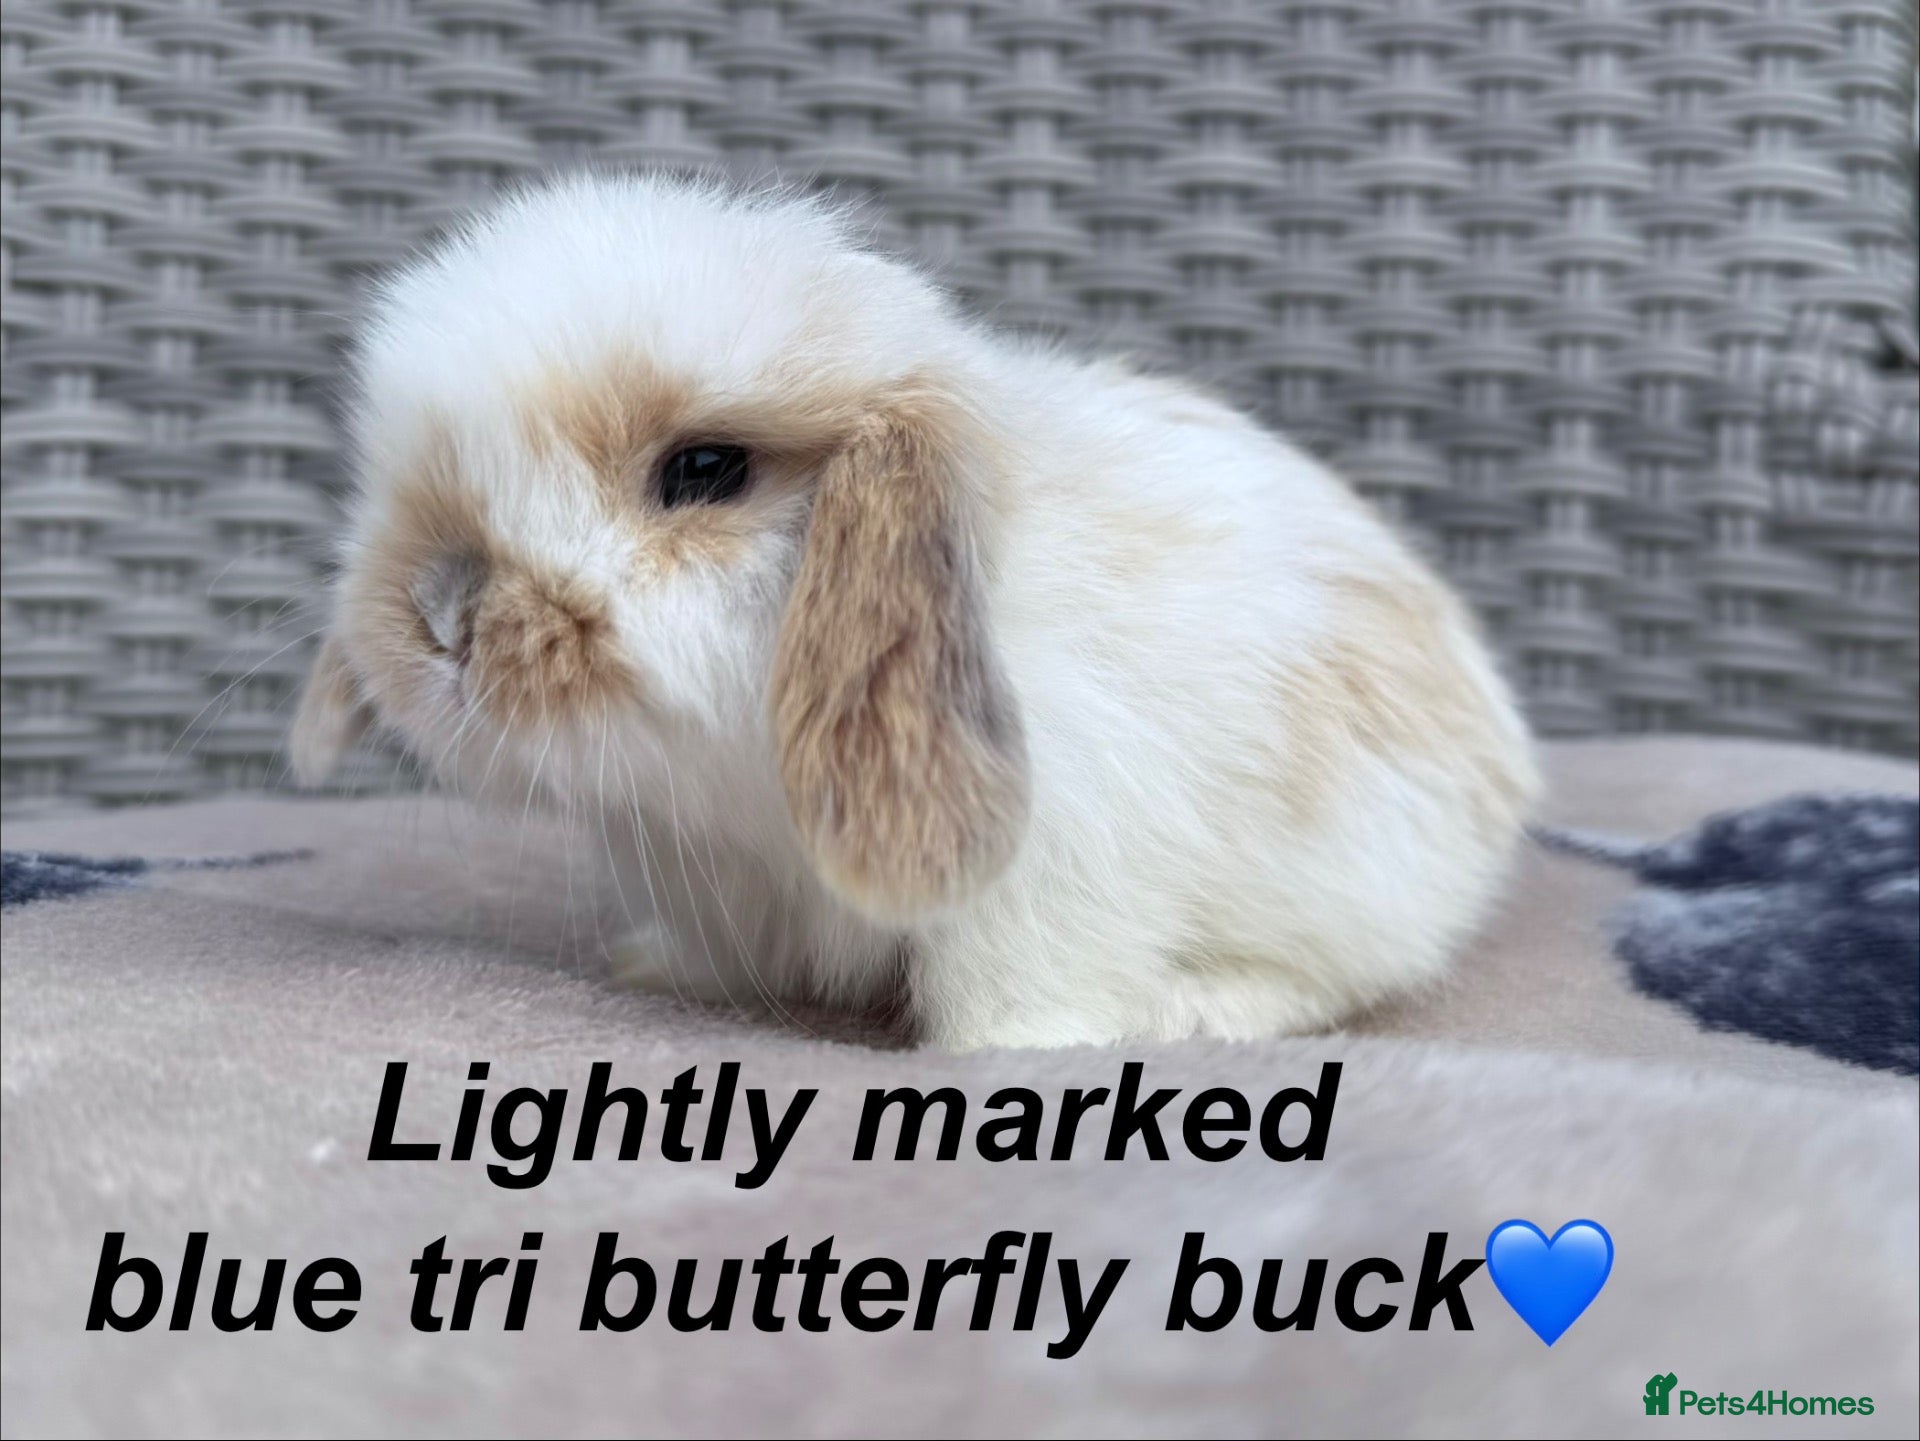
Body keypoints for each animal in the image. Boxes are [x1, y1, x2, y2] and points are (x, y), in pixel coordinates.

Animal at [291, 171, 1539, 1051]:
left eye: (704, 469)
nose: (440, 615)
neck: (748, 802)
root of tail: (1504, 752)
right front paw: (659, 967)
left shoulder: (1048, 869)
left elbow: (1019, 981)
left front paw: (1011, 1052)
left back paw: (1197, 1009)